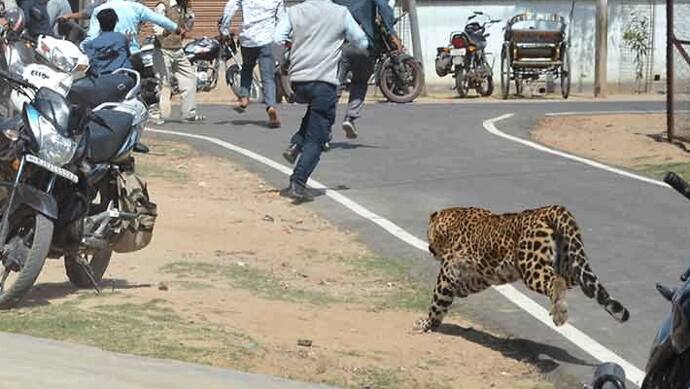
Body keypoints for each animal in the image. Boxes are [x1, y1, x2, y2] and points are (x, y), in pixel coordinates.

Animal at [414, 203, 628, 330]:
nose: (430, 249)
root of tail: (553, 209)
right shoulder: (478, 277)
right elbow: (461, 289)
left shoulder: (447, 274)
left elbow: (437, 303)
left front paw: (426, 323)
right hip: (571, 262)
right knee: (586, 284)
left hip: (532, 268)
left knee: (555, 281)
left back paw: (559, 313)